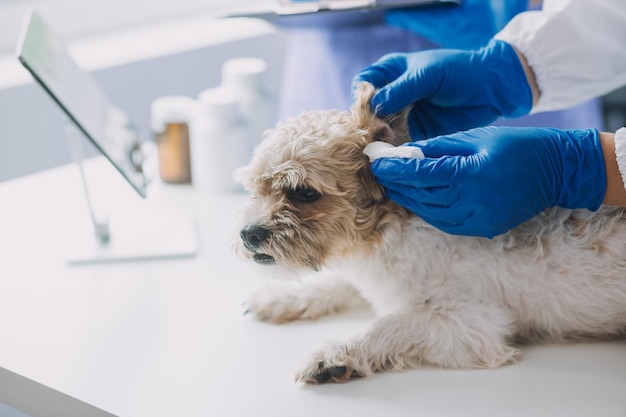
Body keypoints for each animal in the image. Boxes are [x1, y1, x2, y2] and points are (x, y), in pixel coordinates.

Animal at [232, 82, 624, 384]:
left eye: (304, 192)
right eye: (254, 188)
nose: (248, 234)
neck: (388, 232)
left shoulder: (472, 325)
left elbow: (387, 326)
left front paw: (335, 354)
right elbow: (335, 283)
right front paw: (282, 298)